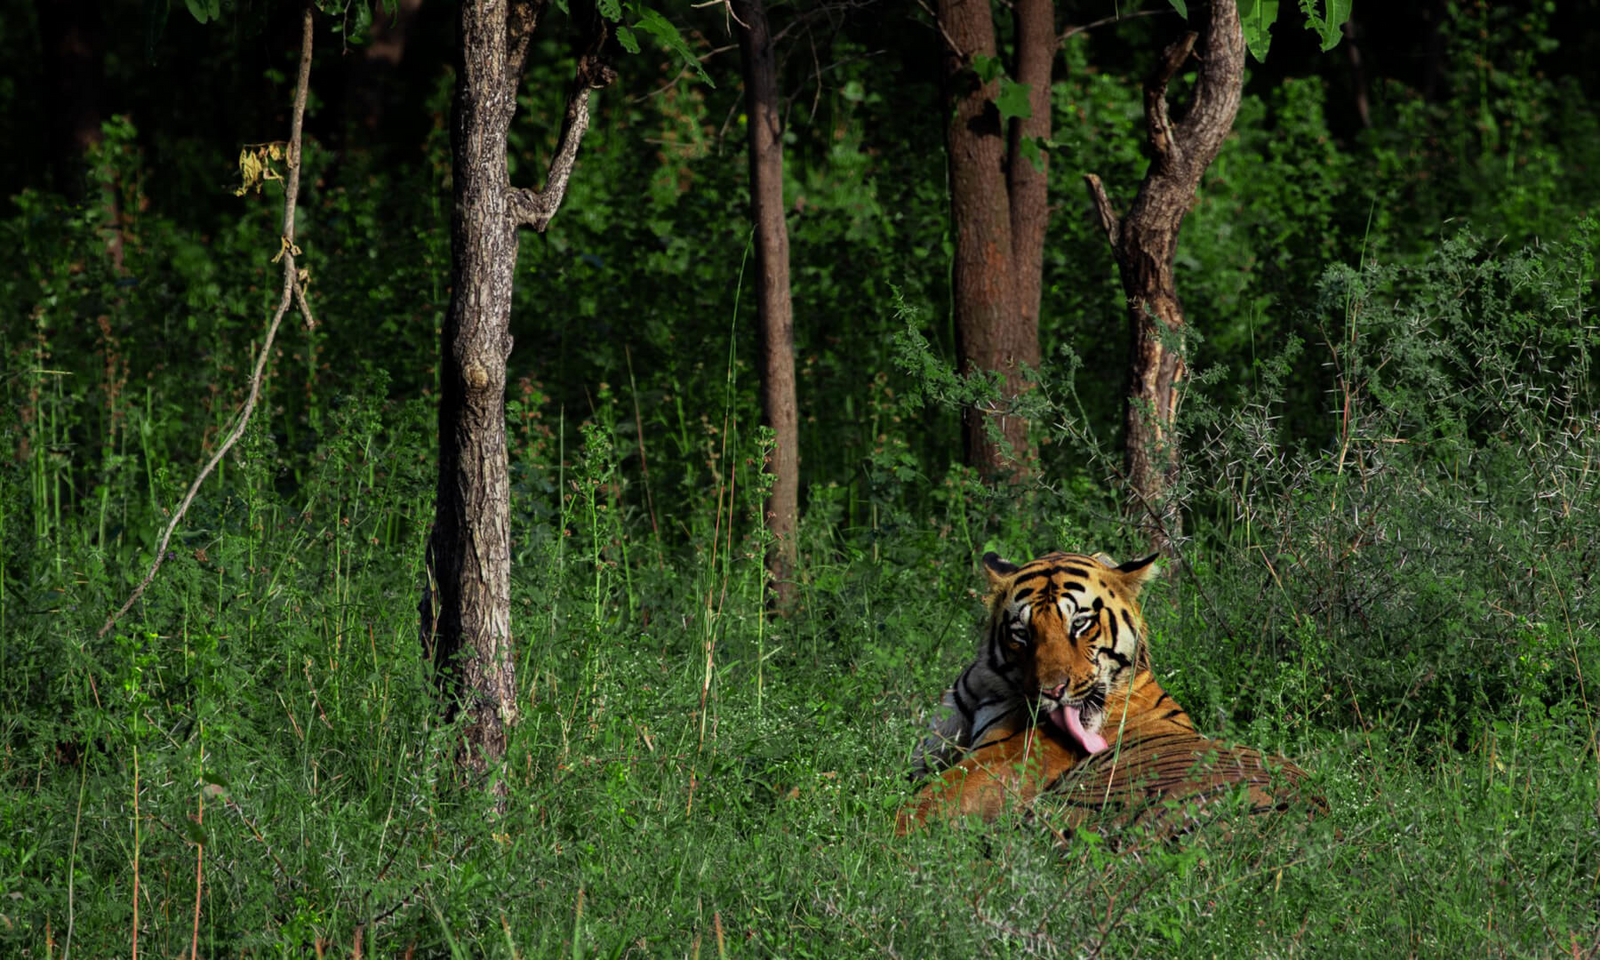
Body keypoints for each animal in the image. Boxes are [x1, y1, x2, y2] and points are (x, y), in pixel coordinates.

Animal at [897, 550, 1319, 837]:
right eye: (1022, 633)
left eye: (1080, 624)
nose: (1053, 690)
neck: (989, 682)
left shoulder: (1002, 761)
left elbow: (921, 804)